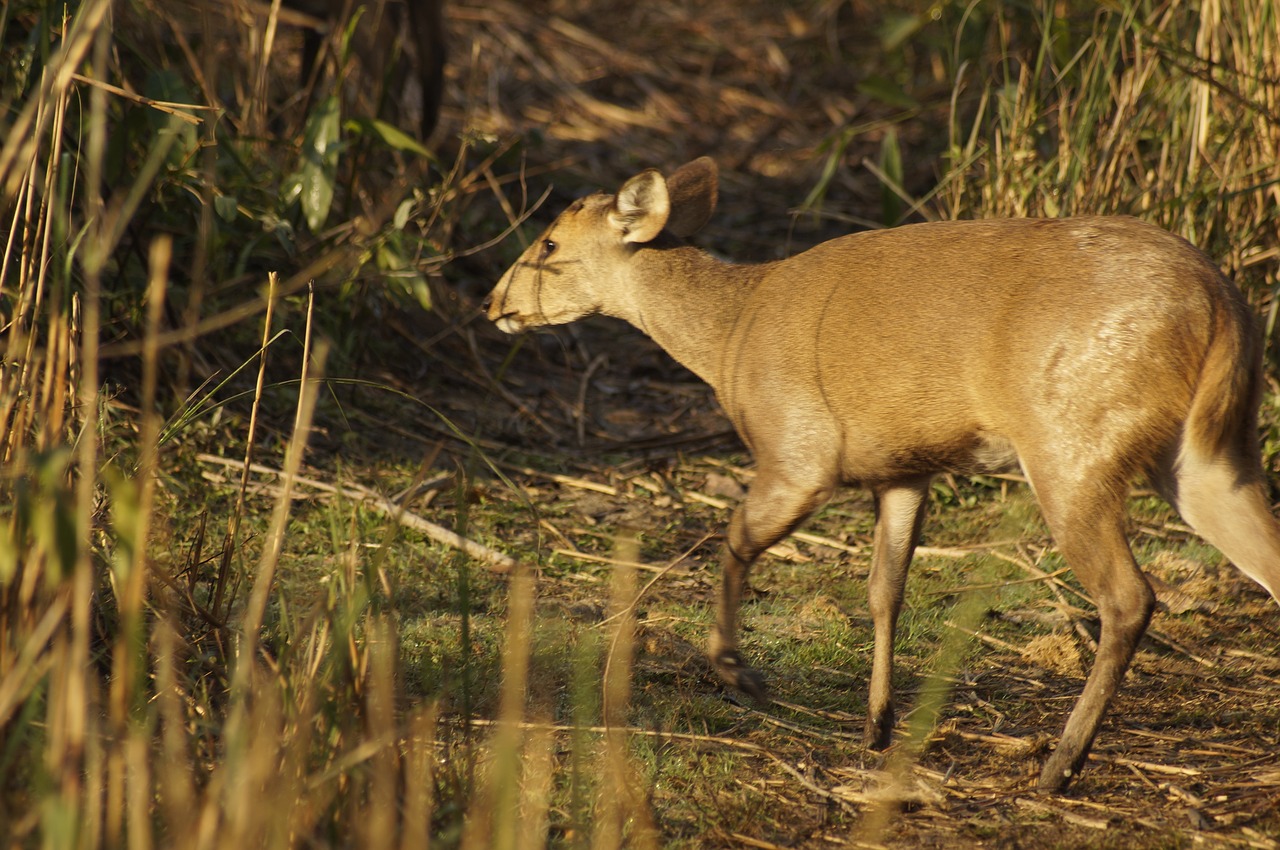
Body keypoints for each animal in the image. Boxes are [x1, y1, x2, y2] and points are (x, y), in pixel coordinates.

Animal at [481, 157, 1280, 788]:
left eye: (549, 242)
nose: (493, 304)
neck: (731, 334)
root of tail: (1222, 305)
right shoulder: (903, 468)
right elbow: (884, 588)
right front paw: (877, 724)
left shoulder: (799, 449)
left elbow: (733, 541)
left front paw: (738, 671)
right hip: (1210, 455)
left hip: (1070, 441)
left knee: (1128, 596)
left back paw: (1060, 764)